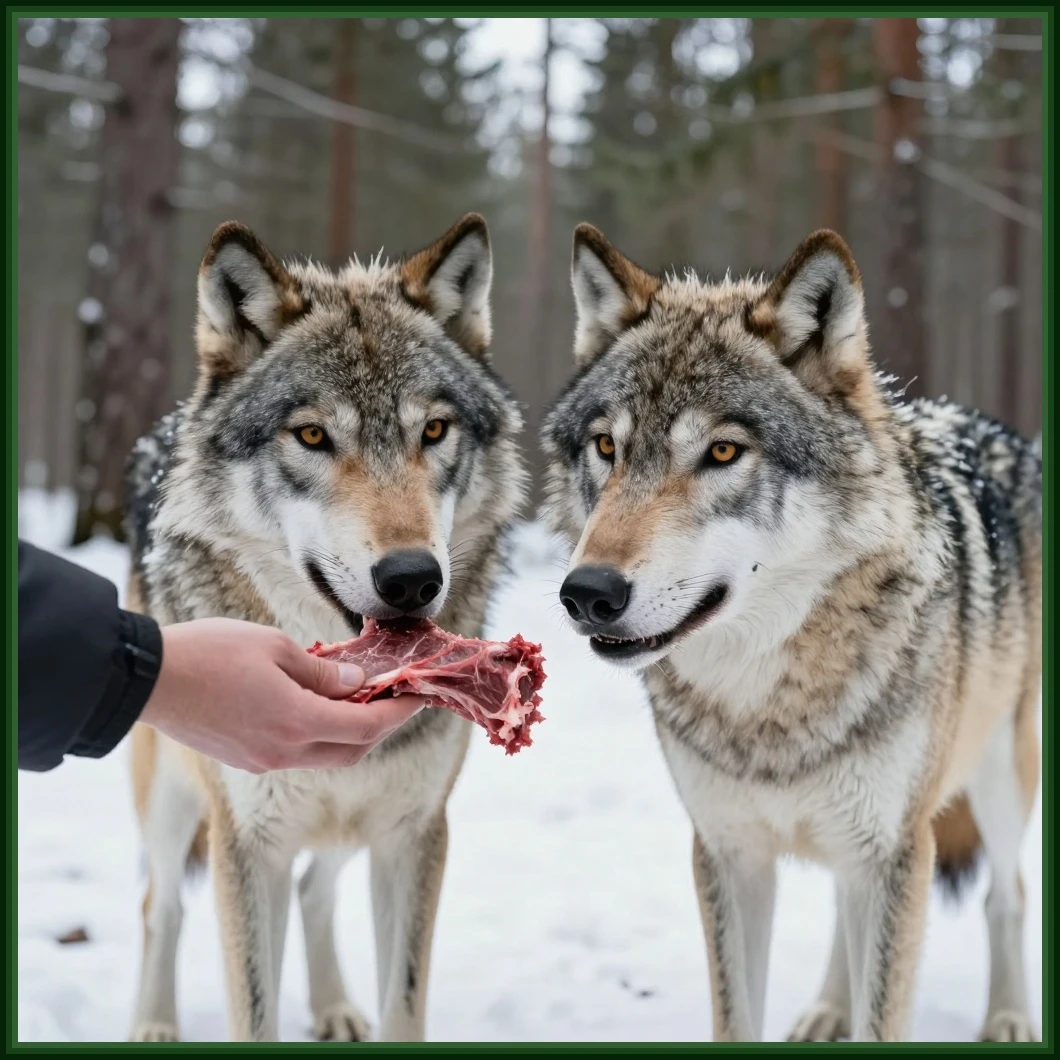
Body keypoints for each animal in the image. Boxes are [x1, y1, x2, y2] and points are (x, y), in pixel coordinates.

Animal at [123, 213, 527, 1042]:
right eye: (311, 437)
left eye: (434, 430)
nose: (411, 578)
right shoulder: (249, 846)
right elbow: (252, 1009)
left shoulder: (413, 833)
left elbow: (403, 1003)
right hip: (171, 796)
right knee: (160, 903)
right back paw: (153, 1022)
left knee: (317, 887)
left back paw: (336, 1007)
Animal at [542, 224, 1041, 1042]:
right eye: (607, 448)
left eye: (721, 451)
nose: (587, 594)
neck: (767, 706)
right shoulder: (729, 853)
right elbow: (737, 1016)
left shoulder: (895, 853)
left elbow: (886, 1014)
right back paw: (826, 1010)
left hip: (1000, 778)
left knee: (1010, 891)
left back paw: (1006, 1017)